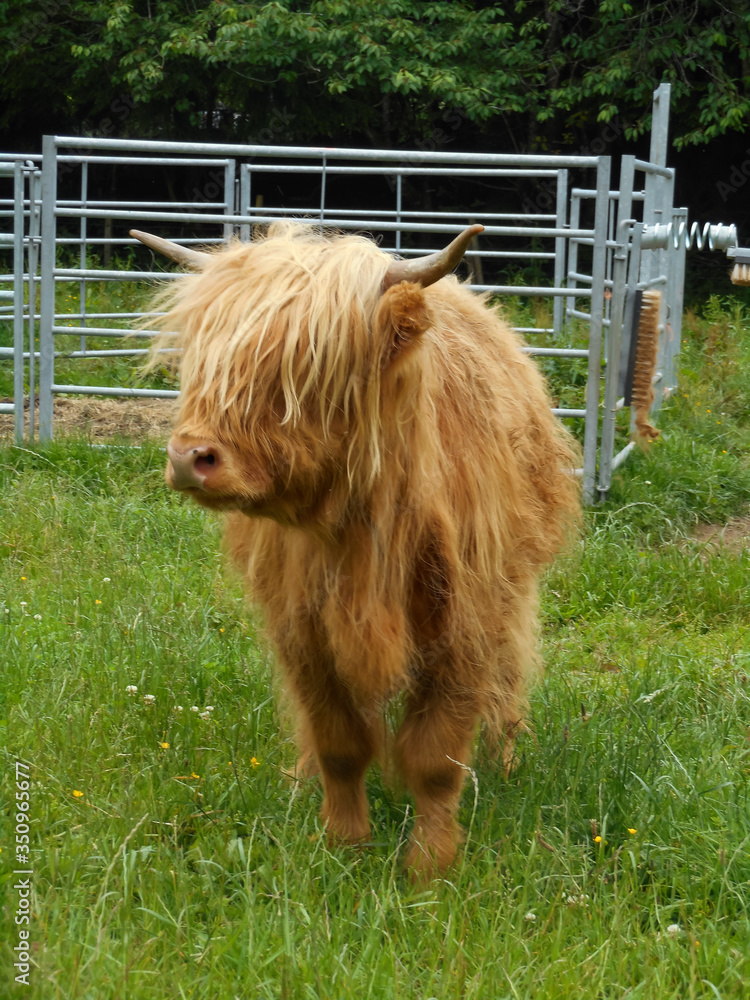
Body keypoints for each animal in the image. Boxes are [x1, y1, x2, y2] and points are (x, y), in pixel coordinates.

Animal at [132, 222, 580, 880]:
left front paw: (429, 865)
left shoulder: (465, 625)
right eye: (203, 357)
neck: (362, 535)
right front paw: (344, 845)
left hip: (512, 589)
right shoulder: (302, 627)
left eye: (304, 364)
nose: (190, 458)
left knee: (509, 674)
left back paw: (504, 758)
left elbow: (436, 756)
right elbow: (338, 742)